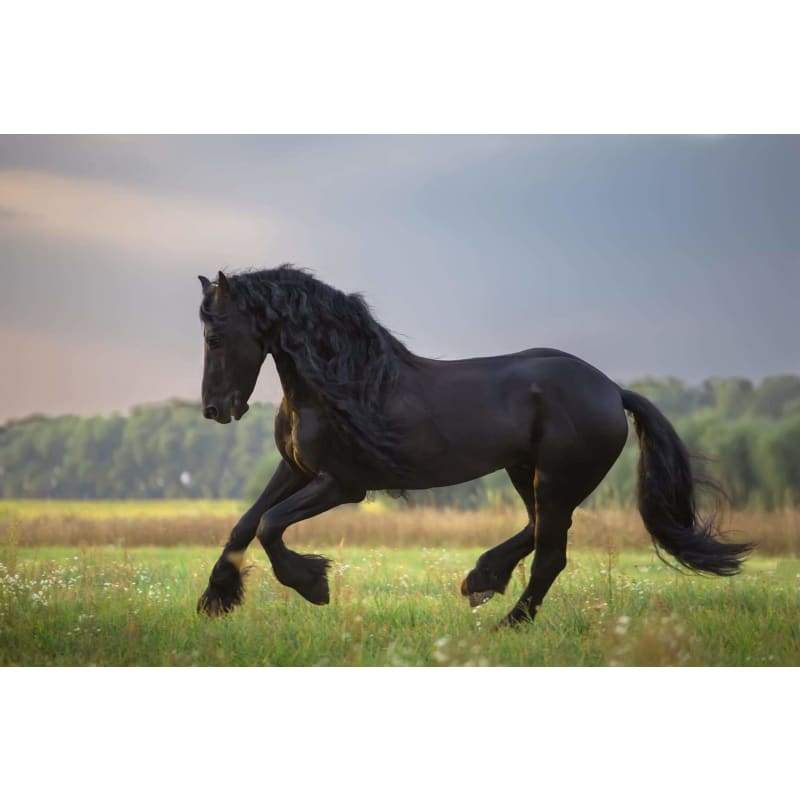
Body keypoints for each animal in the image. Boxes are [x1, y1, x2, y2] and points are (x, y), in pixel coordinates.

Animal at [196, 265, 751, 627]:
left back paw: (508, 621)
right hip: (525, 472)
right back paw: (481, 580)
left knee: (551, 553)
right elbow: (245, 523)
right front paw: (214, 599)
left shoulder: (343, 484)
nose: (215, 410)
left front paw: (313, 585)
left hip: (556, 479)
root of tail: (613, 391)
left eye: (215, 338)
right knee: (539, 531)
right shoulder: (296, 469)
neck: (340, 383)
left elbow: (269, 525)